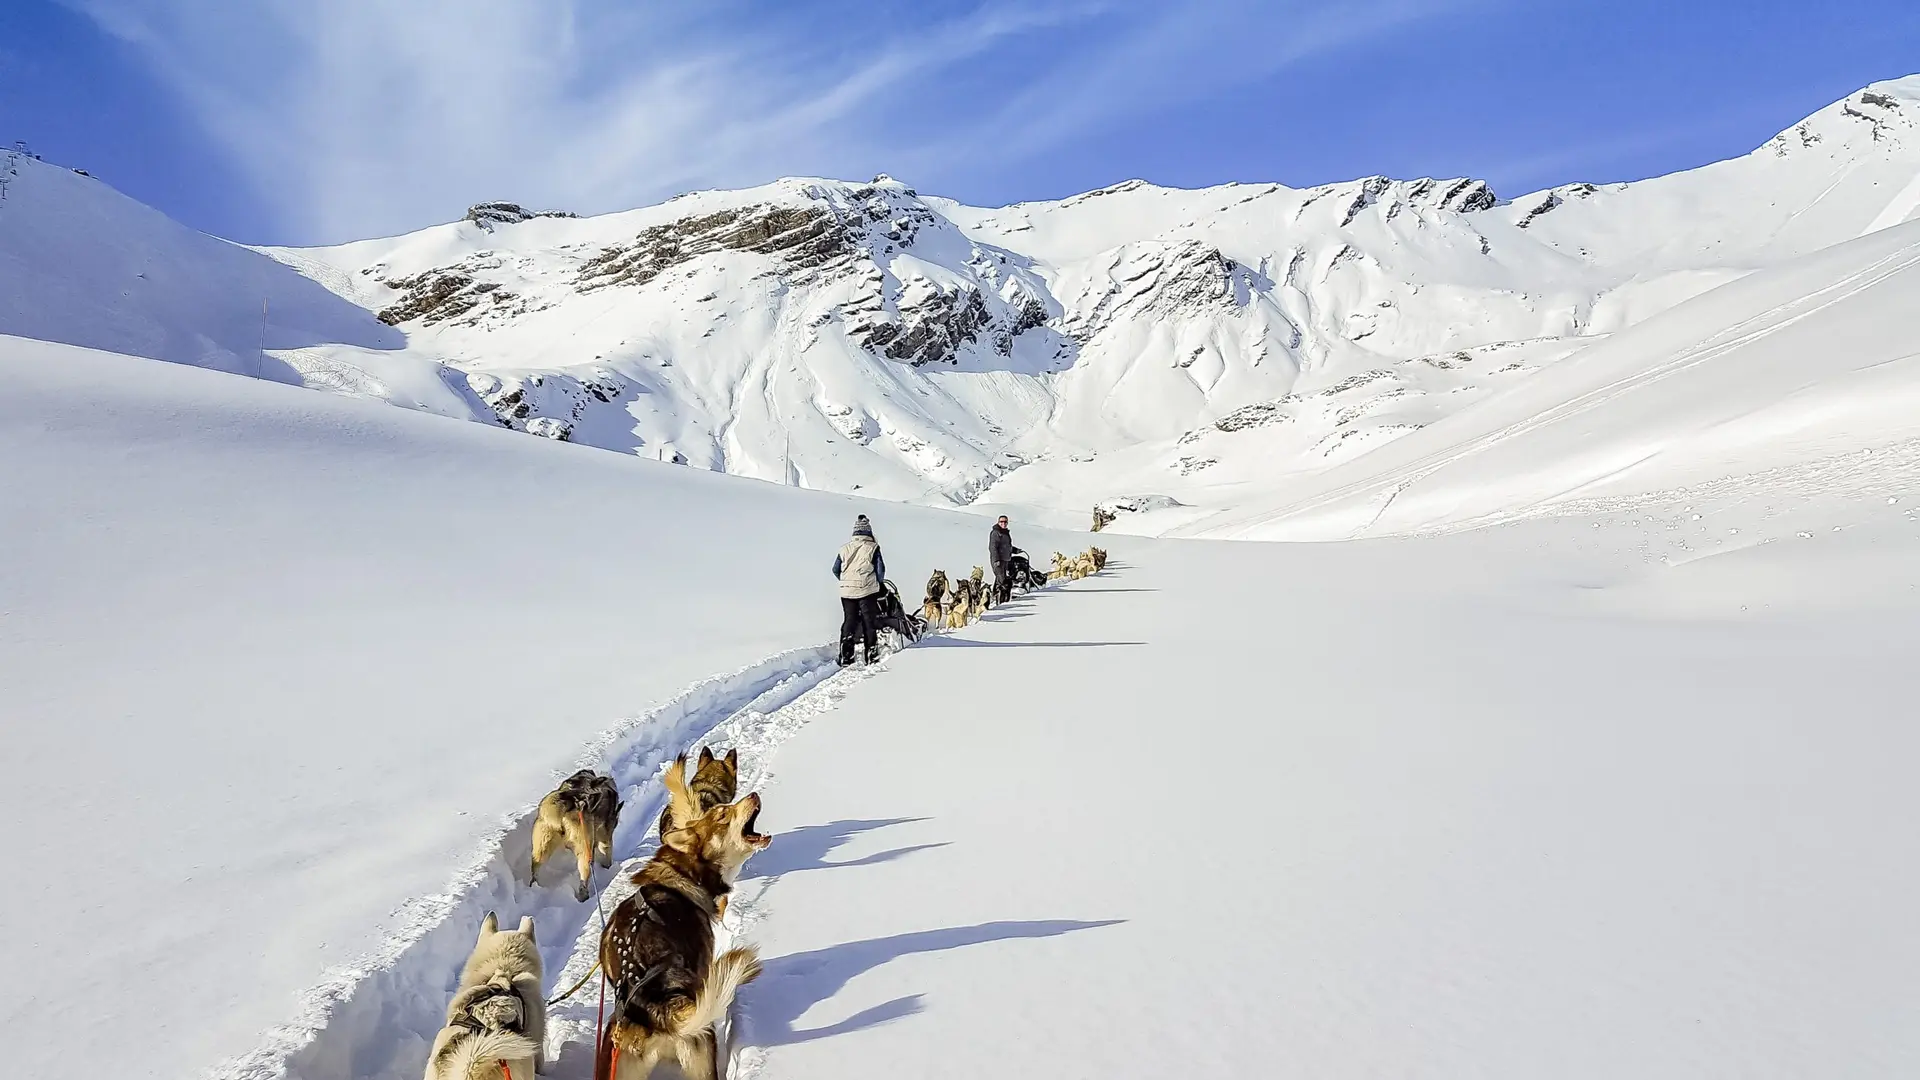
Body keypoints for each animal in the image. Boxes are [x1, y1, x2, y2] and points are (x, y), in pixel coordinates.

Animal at [529, 764, 618, 899]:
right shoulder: (605, 836)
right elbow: (606, 851)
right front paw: (607, 867)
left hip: (542, 845)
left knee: (536, 867)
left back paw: (534, 885)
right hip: (585, 850)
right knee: (584, 875)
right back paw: (583, 895)